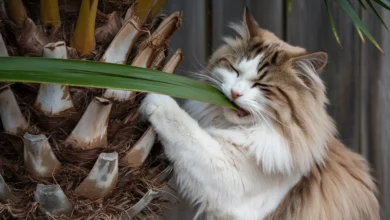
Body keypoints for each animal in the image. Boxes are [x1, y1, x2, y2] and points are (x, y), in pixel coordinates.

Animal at [139, 6, 378, 220]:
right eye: (235, 71)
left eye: (261, 86)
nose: (235, 93)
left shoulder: (230, 180)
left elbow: (186, 130)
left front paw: (154, 93)